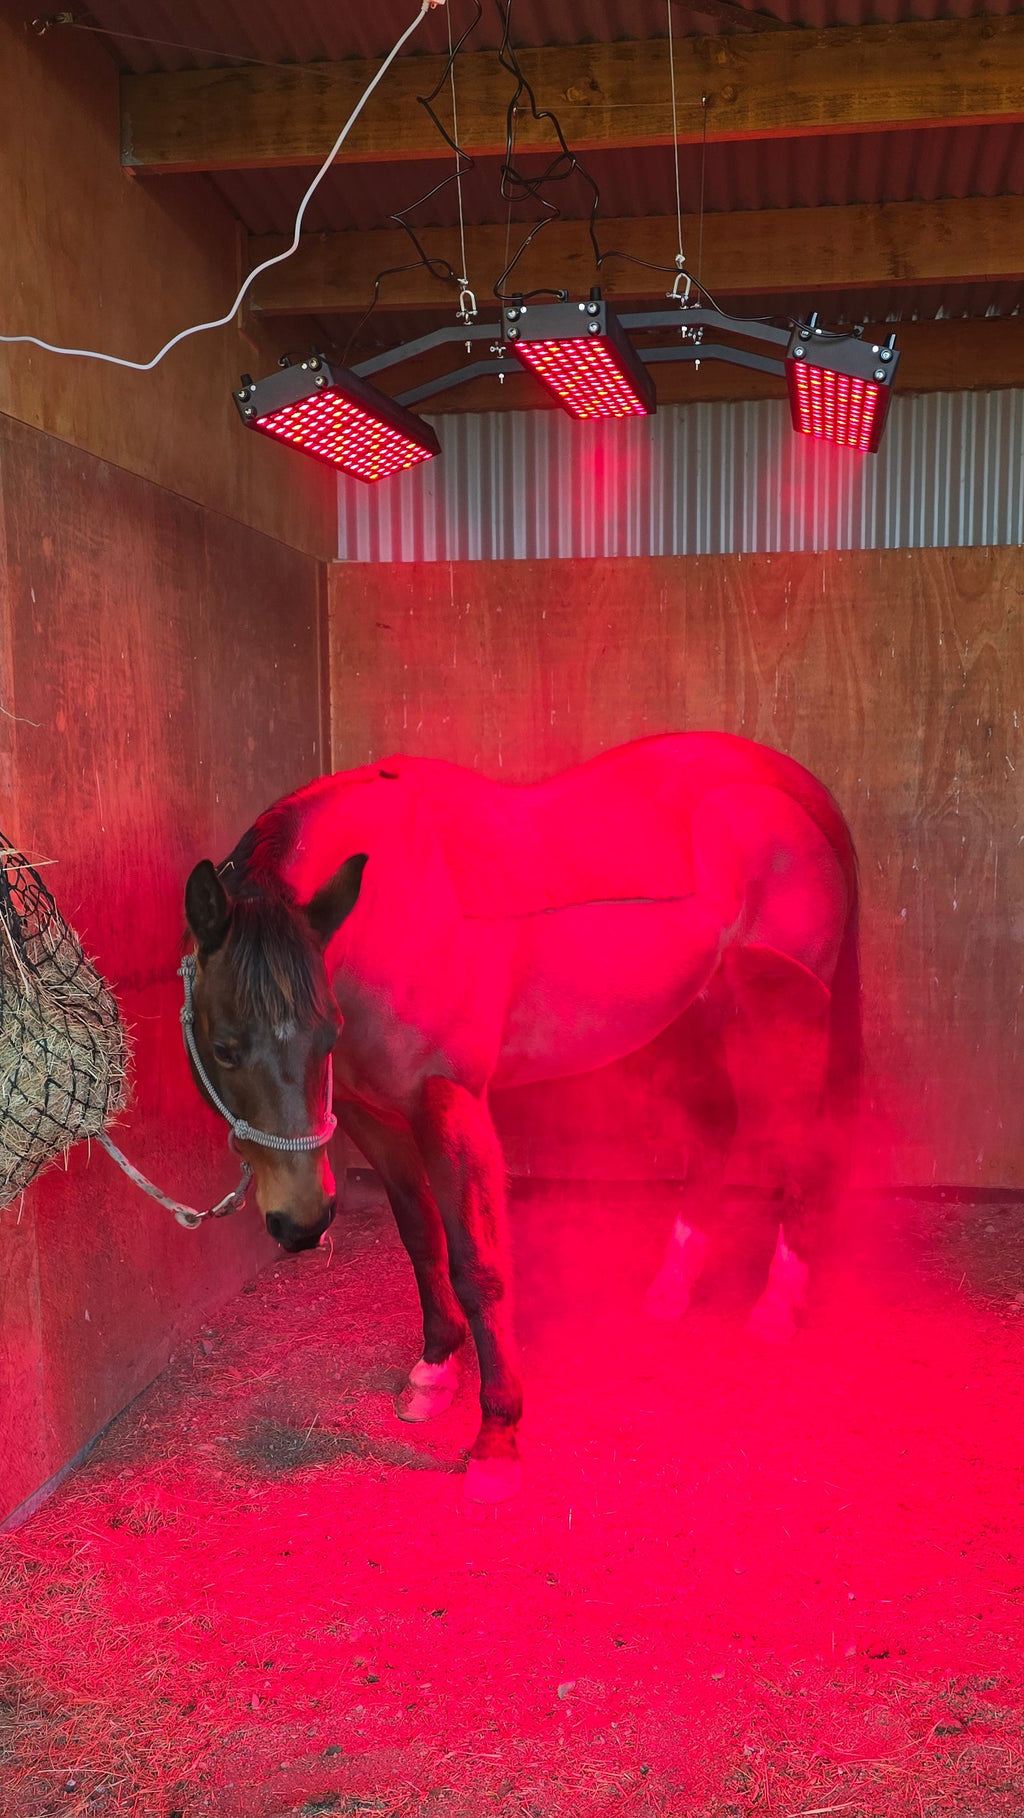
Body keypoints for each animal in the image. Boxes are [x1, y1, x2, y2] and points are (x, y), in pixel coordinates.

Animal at [183, 732, 860, 1502]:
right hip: (697, 1007)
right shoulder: (373, 1118)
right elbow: (423, 1241)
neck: (394, 910)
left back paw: (777, 1304)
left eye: (323, 1034)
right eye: (224, 1045)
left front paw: (497, 1438)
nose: (302, 1224)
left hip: (787, 1011)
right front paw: (434, 1371)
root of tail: (785, 783)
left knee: (801, 1139)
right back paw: (673, 1286)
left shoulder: (450, 1105)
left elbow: (480, 1266)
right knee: (716, 1125)